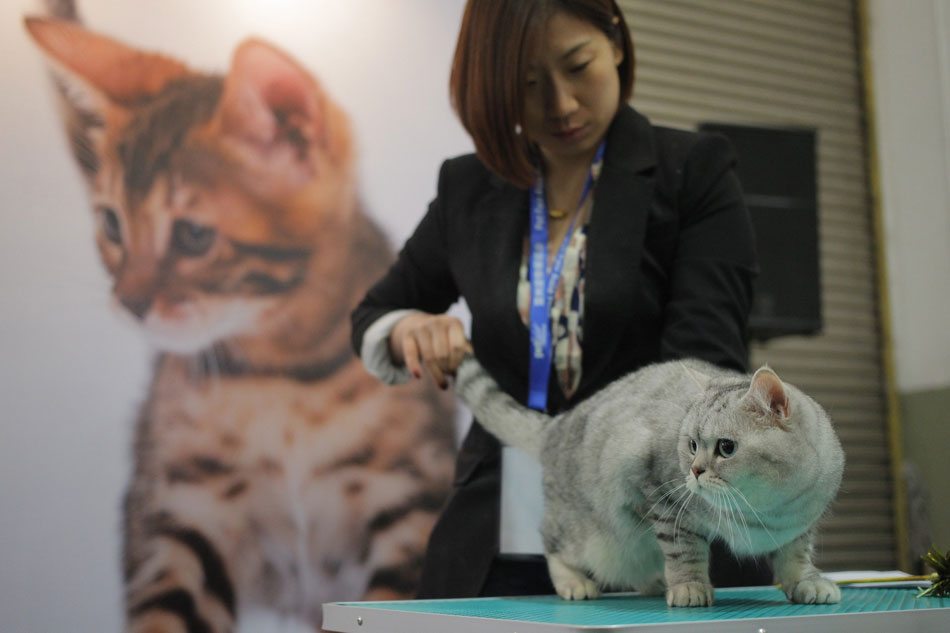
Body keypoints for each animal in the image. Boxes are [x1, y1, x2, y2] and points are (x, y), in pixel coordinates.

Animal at [456, 356, 848, 608]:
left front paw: (807, 582)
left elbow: (796, 556)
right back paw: (575, 582)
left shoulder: (799, 526)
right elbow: (684, 552)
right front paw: (689, 586)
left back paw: (655, 582)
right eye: (691, 445)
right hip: (593, 533)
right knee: (554, 545)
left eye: (726, 448)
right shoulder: (666, 502)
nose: (694, 471)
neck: (765, 510)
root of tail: (560, 422)